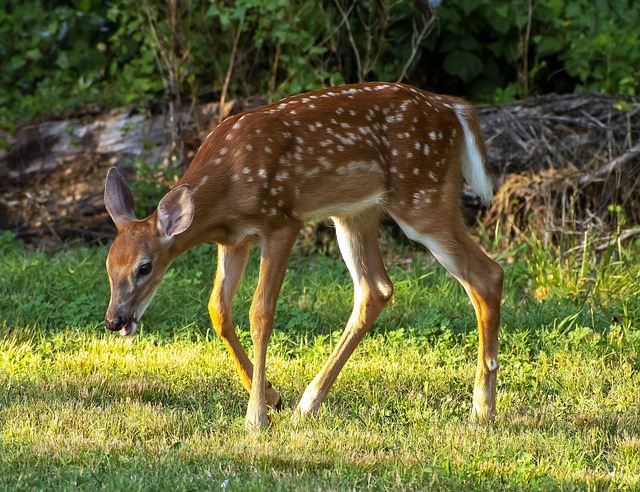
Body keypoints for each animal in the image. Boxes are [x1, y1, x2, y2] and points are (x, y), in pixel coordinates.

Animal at [105, 82, 502, 428]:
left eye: (144, 267)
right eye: (108, 267)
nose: (114, 319)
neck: (226, 188)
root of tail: (454, 107)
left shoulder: (281, 223)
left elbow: (260, 313)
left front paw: (256, 417)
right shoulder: (234, 240)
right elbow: (218, 309)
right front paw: (271, 396)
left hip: (422, 196)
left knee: (487, 274)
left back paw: (482, 408)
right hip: (355, 214)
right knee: (376, 289)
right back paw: (307, 404)